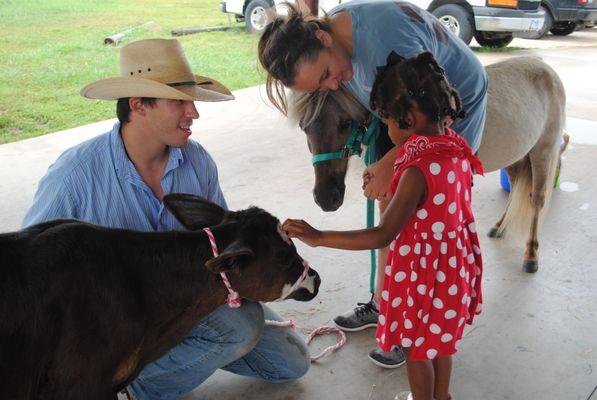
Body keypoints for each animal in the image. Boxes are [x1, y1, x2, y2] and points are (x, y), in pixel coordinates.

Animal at [292, 57, 564, 274]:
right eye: (304, 128)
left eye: (345, 124)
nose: (325, 199)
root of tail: (547, 69)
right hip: (516, 156)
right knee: (516, 186)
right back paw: (499, 227)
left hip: (544, 151)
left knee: (536, 199)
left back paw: (531, 254)